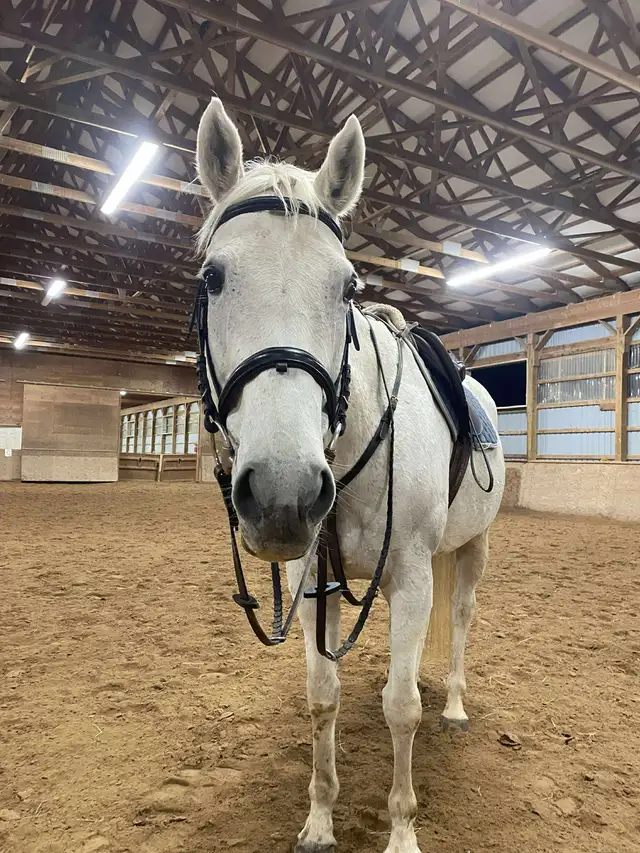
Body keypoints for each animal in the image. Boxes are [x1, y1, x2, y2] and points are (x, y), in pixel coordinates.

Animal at [194, 98, 506, 853]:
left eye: (347, 287)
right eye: (213, 277)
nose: (283, 493)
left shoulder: (417, 574)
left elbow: (402, 709)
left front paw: (402, 831)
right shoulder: (317, 581)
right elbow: (322, 699)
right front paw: (318, 819)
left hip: (471, 549)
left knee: (461, 616)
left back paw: (454, 704)